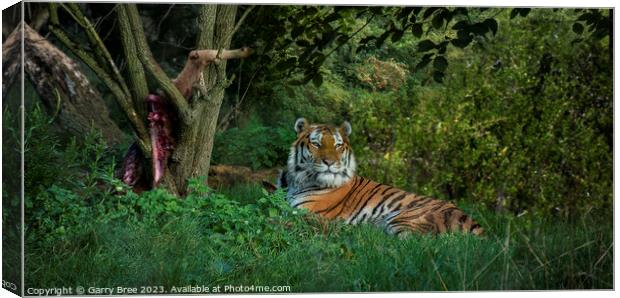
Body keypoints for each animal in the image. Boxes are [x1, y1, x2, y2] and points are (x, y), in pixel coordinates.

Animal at [276, 117, 484, 236]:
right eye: (316, 144)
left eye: (338, 145)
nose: (330, 162)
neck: (297, 180)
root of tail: (475, 224)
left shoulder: (304, 211)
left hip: (403, 220)